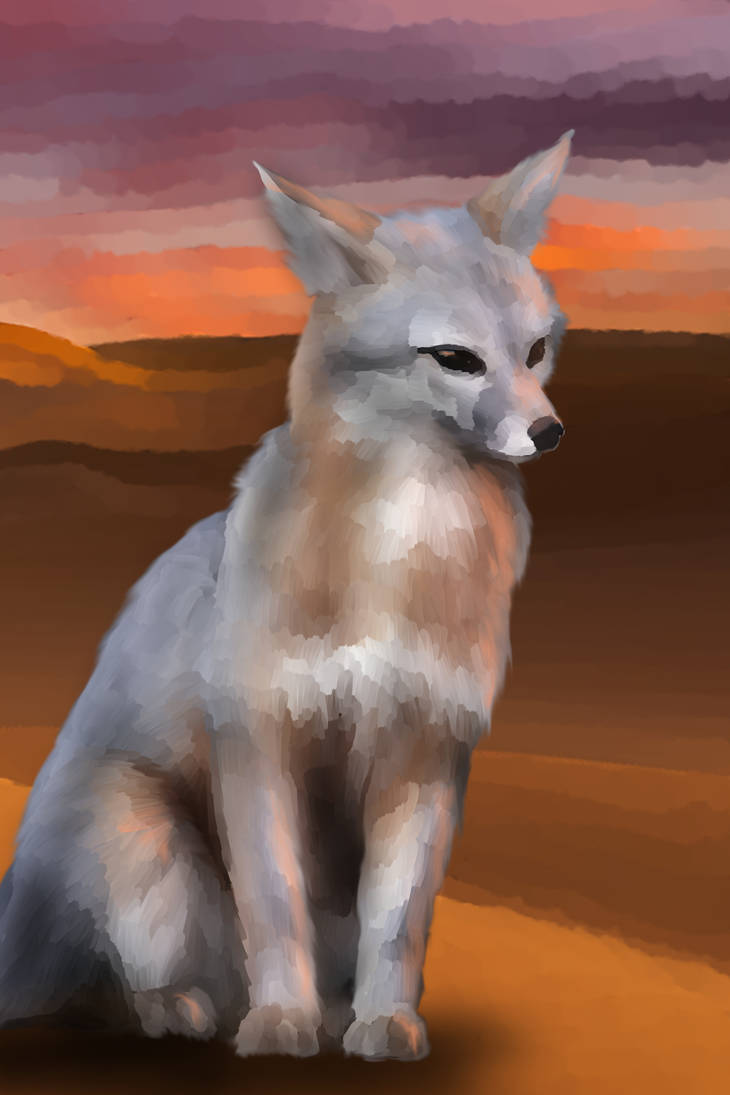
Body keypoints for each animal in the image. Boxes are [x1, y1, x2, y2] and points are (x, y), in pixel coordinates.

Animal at [0, 130, 573, 1061]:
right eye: (455, 358)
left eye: (537, 351)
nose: (550, 430)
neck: (397, 554)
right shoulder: (257, 737)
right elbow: (274, 905)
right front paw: (279, 1021)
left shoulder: (429, 744)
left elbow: (398, 920)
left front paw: (384, 1019)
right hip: (148, 851)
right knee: (114, 989)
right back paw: (188, 1008)